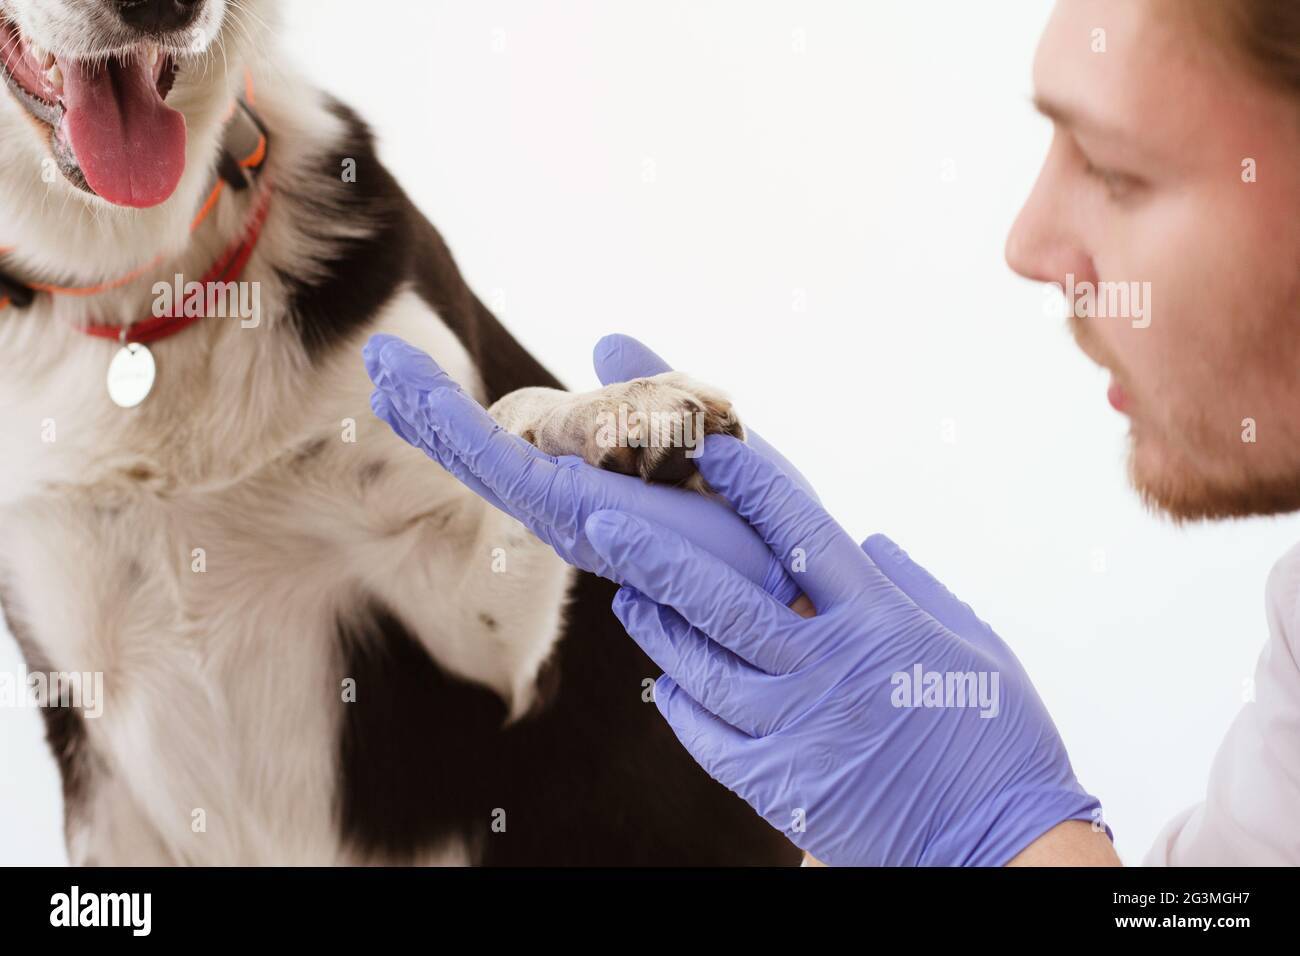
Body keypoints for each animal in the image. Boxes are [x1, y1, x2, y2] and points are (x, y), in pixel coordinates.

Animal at [0, 0, 795, 868]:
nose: (164, 8)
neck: (143, 290)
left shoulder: (486, 646)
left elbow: (510, 421)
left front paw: (614, 408)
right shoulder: (94, 743)